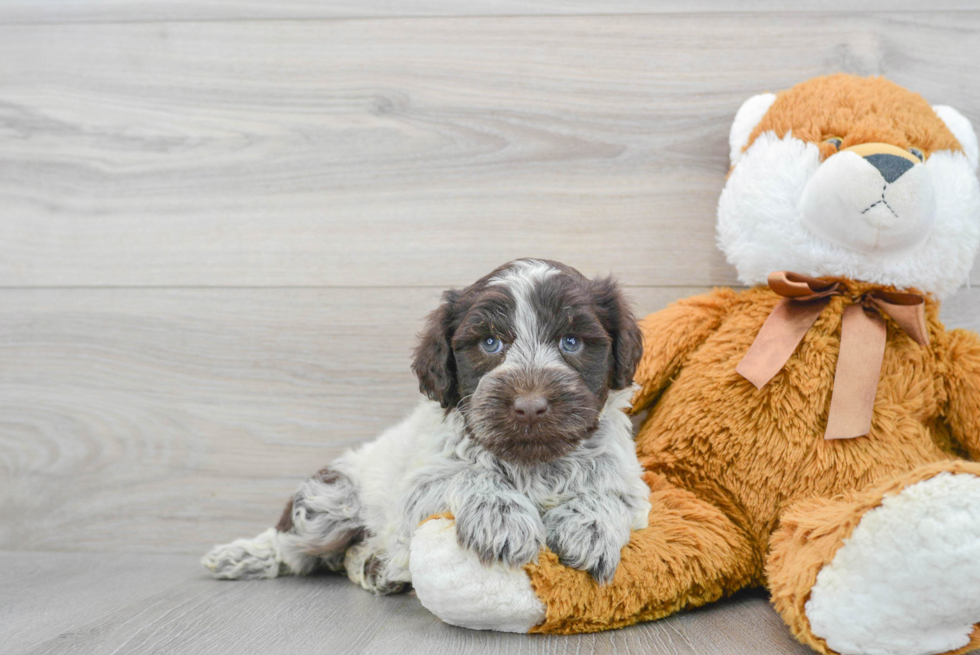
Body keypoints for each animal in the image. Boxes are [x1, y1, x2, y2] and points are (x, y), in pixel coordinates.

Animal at [204, 258, 652, 592]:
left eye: (571, 342)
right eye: (490, 343)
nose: (529, 406)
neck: (533, 463)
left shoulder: (631, 483)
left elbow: (611, 495)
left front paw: (589, 527)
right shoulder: (415, 491)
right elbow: (467, 474)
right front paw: (502, 518)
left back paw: (375, 568)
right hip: (328, 501)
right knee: (291, 548)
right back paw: (241, 555)